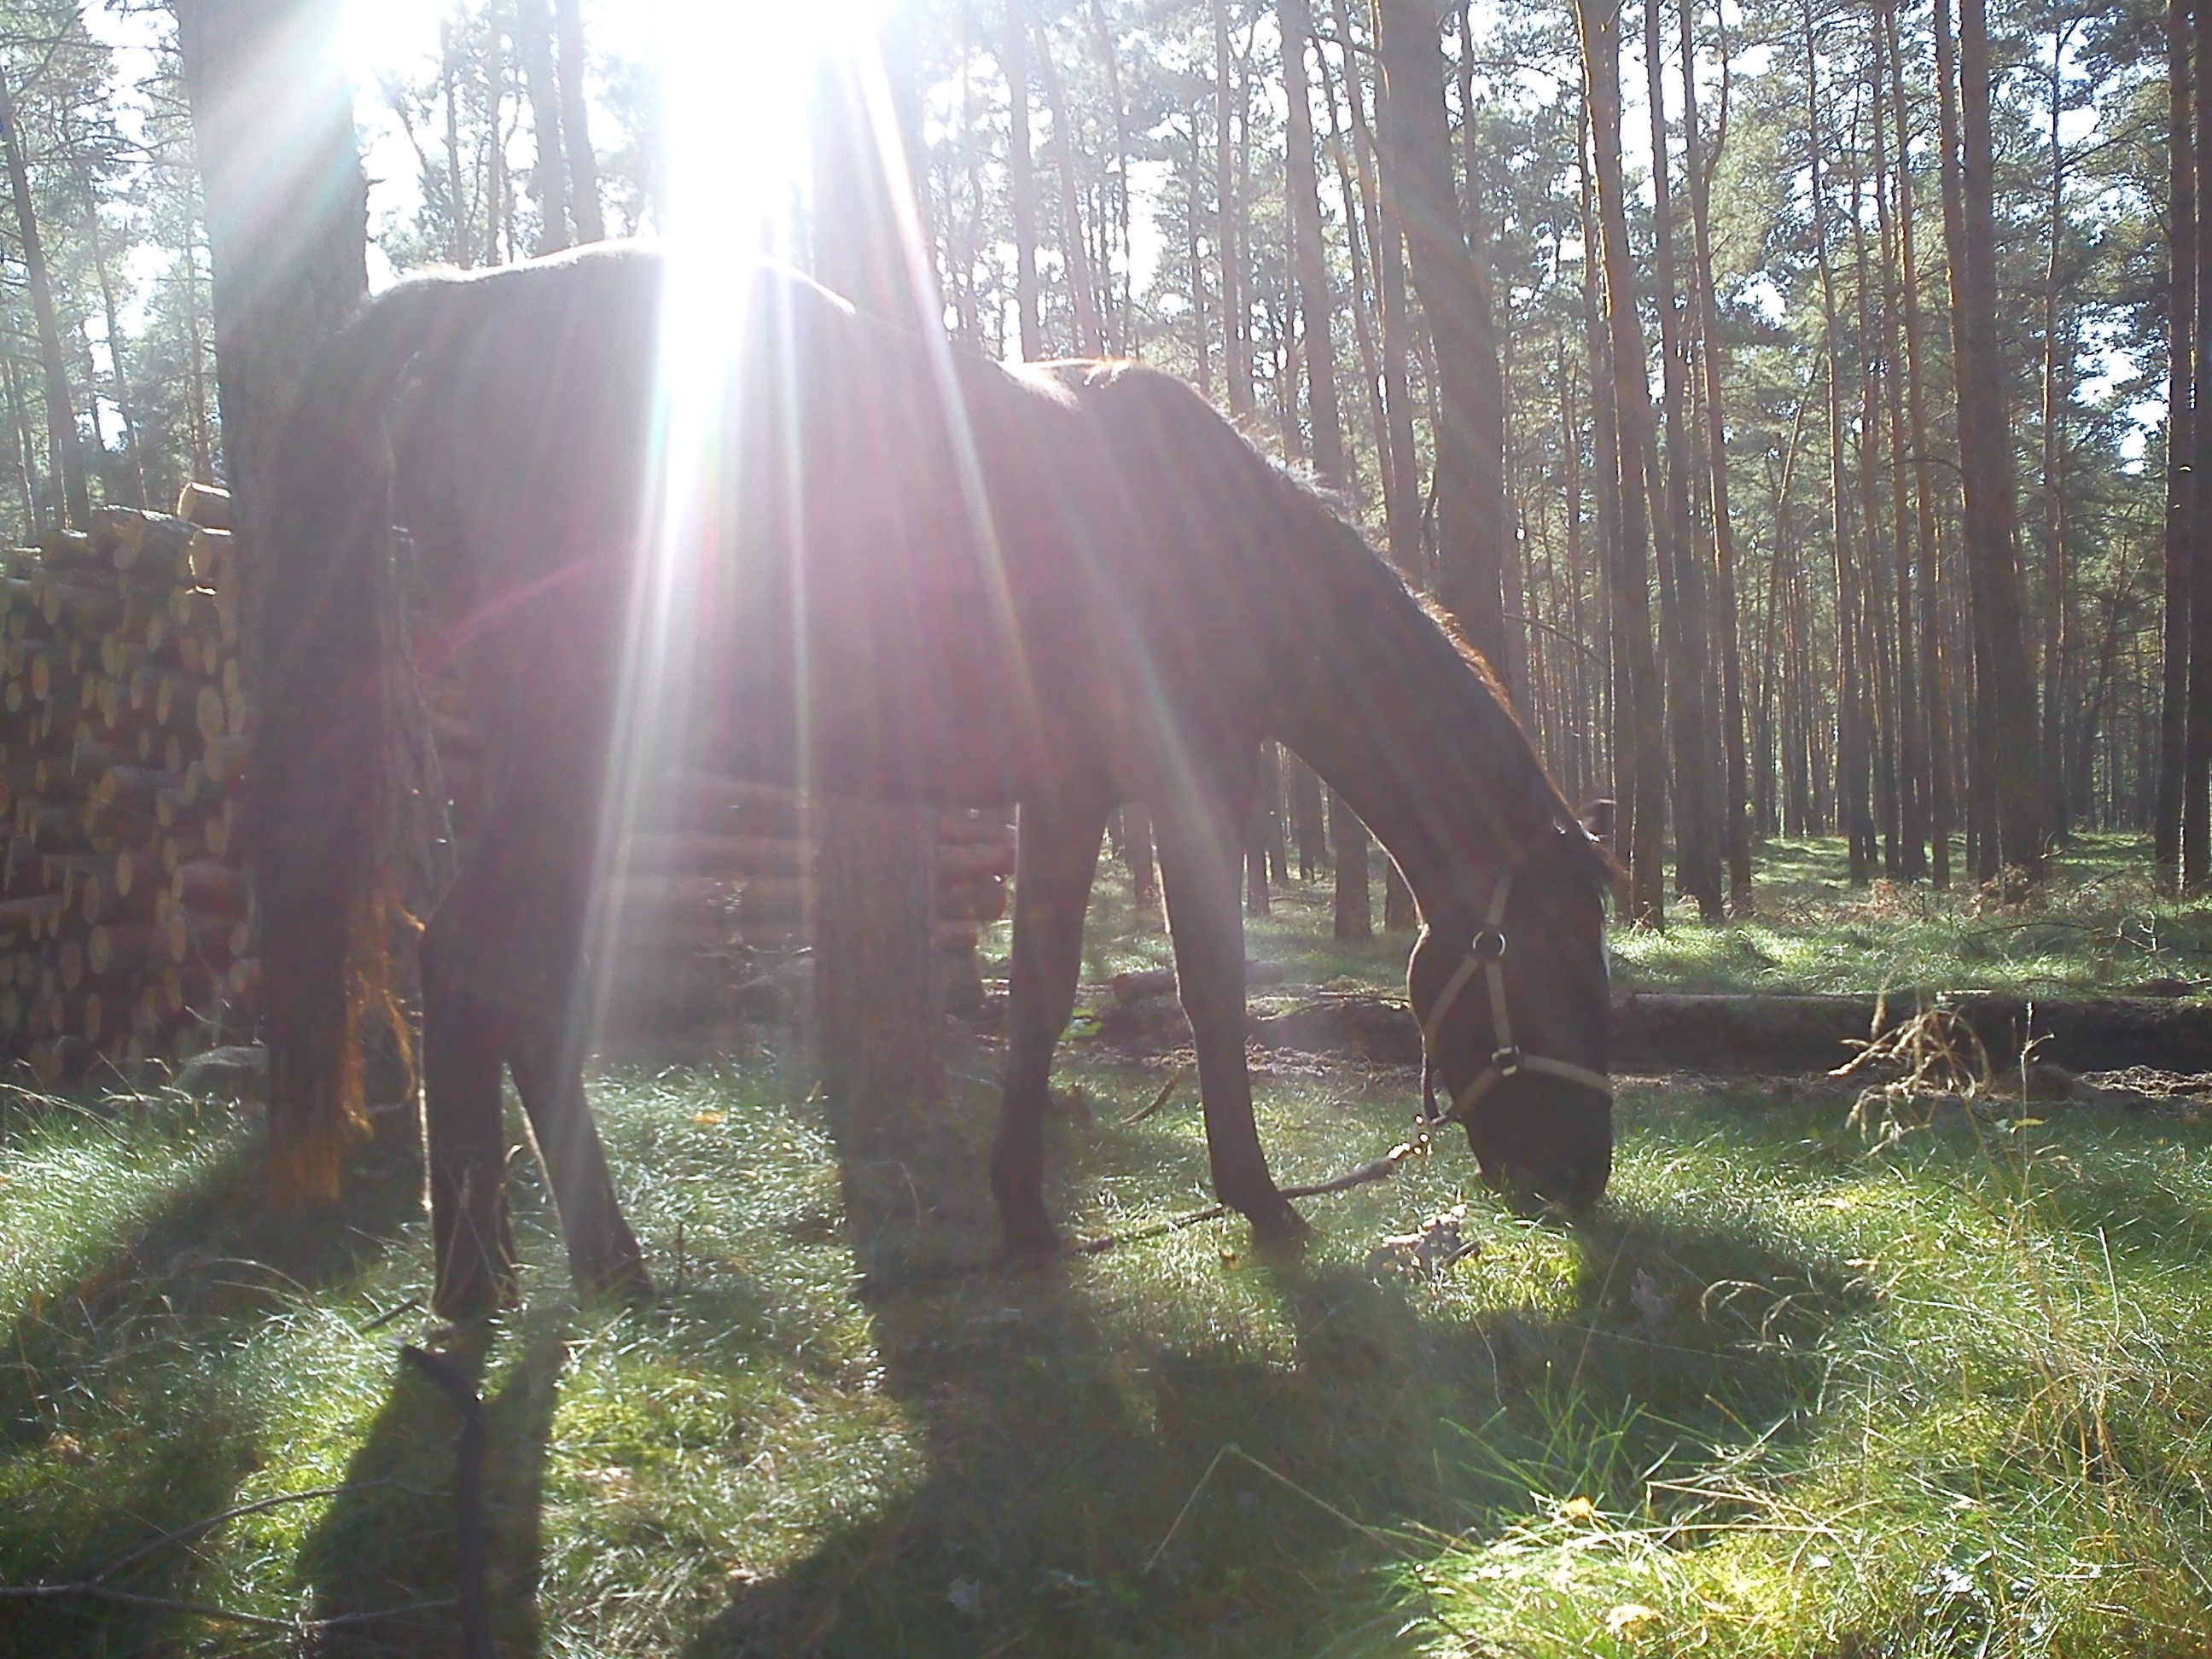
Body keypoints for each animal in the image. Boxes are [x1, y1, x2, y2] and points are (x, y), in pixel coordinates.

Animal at [254, 243, 1610, 1327]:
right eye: (1553, 961)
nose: (1580, 1185)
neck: (1225, 539)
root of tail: (471, 302)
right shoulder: (1197, 779)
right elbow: (1213, 986)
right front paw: (1260, 1200)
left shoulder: (1066, 796)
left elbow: (1044, 994)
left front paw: (1024, 1210)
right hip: (568, 756)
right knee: (471, 965)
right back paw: (491, 1277)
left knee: (517, 991)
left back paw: (571, 1265)